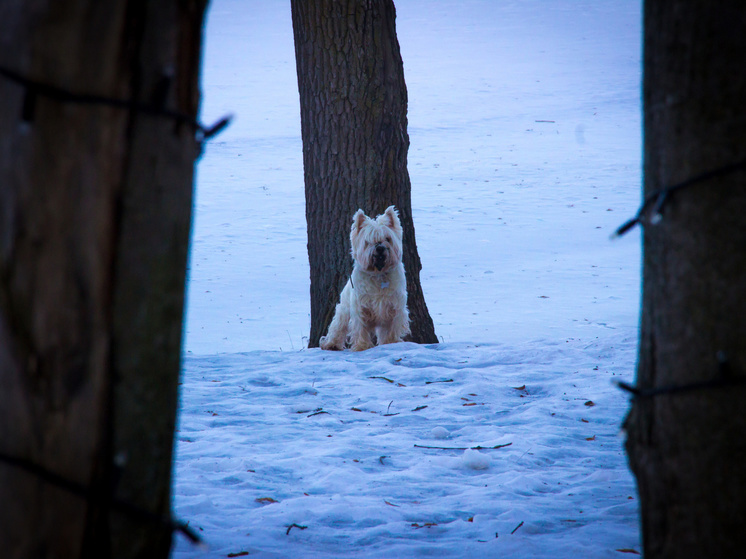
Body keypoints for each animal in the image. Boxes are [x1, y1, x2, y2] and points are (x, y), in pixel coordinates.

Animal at [318, 206, 410, 352]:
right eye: (368, 241)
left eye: (388, 238)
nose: (380, 248)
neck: (378, 274)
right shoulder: (360, 307)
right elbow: (360, 328)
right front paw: (362, 346)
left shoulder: (395, 307)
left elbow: (391, 329)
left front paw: (391, 343)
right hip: (344, 310)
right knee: (337, 327)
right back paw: (330, 344)